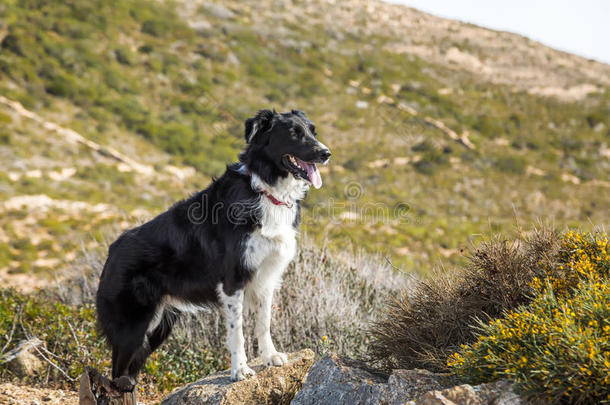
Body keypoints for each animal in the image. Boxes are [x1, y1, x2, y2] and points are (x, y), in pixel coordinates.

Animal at [95, 109, 330, 390]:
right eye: (294, 134)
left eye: (313, 132)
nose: (326, 153)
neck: (264, 188)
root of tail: (111, 251)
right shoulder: (233, 281)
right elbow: (237, 332)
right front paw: (240, 371)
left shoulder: (266, 278)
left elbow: (263, 323)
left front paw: (270, 356)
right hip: (132, 325)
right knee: (117, 371)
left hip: (158, 327)